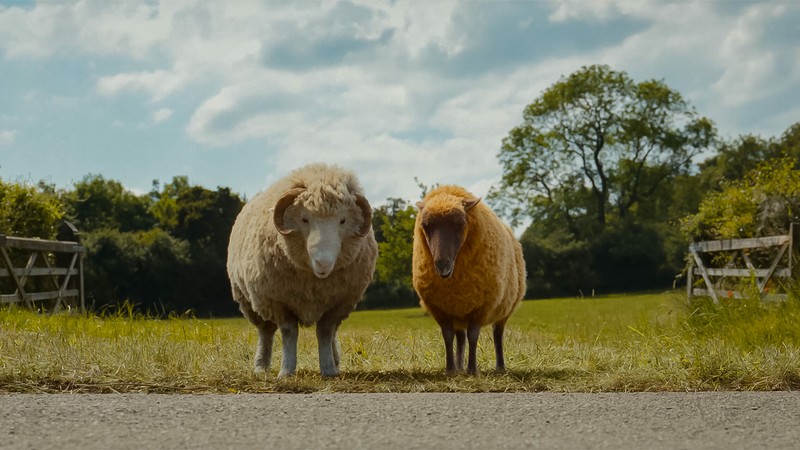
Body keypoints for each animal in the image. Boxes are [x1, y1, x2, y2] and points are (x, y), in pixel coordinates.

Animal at [226, 163, 378, 378]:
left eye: (342, 221)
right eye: (305, 219)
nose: (323, 263)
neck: (314, 282)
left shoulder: (337, 304)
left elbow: (325, 332)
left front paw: (328, 369)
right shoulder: (279, 303)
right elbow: (289, 333)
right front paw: (286, 371)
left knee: (332, 333)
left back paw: (336, 361)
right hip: (251, 302)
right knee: (265, 332)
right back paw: (261, 366)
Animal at [412, 185, 526, 375]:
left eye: (460, 224)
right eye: (426, 226)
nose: (442, 265)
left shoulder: (482, 306)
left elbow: (473, 336)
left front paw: (472, 369)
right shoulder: (440, 309)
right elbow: (448, 337)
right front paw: (450, 369)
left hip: (504, 308)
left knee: (497, 335)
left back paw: (500, 366)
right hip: (459, 311)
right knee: (460, 338)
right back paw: (459, 367)